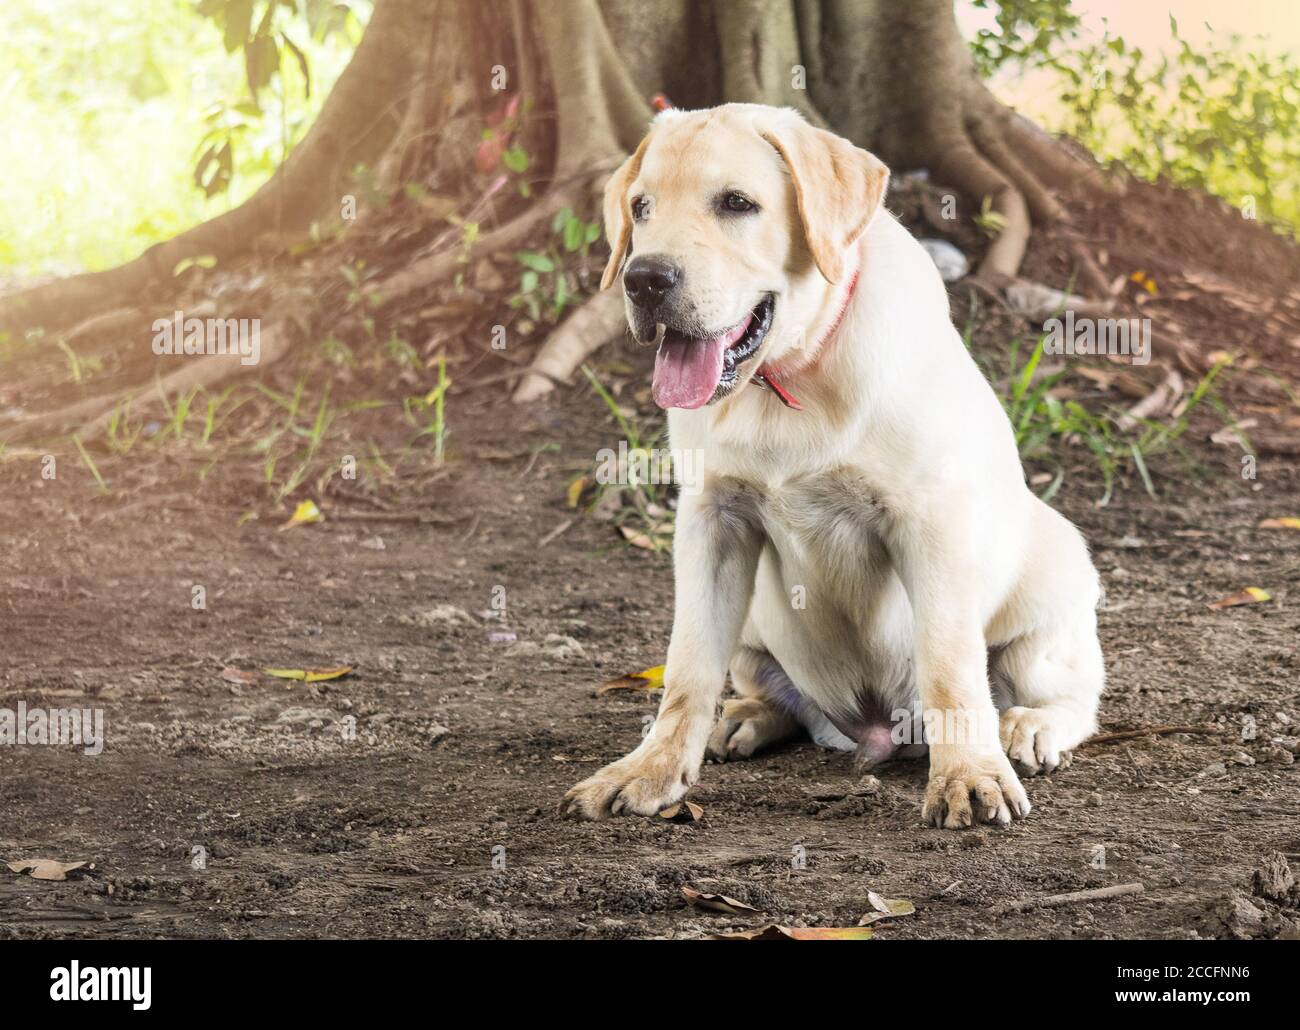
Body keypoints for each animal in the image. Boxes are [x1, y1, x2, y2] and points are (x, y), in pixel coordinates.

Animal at [564, 104, 1102, 827]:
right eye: (641, 207)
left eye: (737, 203)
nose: (644, 279)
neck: (789, 377)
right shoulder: (711, 519)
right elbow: (687, 667)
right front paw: (651, 770)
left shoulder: (931, 521)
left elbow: (950, 667)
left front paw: (968, 775)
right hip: (755, 619)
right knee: (772, 693)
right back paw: (745, 716)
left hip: (1054, 580)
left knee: (1066, 696)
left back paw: (1028, 727)